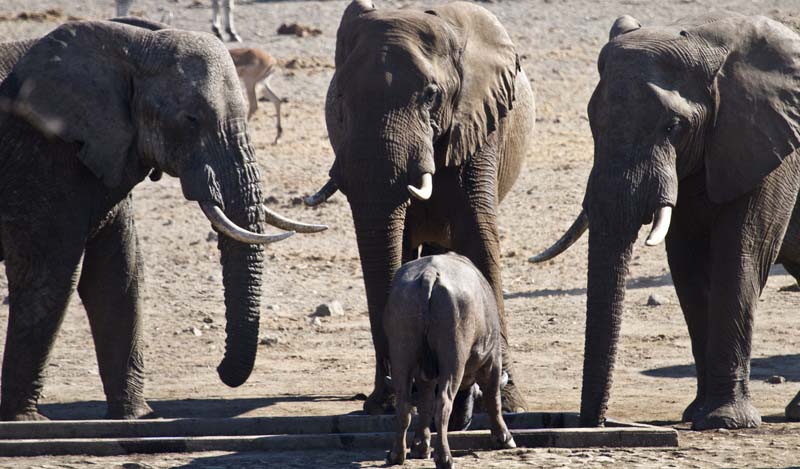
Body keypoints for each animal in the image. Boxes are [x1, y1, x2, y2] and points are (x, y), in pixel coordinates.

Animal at [0, 19, 326, 420]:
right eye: (191, 120)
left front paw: (136, 416)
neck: (129, 45)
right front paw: (25, 419)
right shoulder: (41, 157)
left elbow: (118, 276)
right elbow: (51, 275)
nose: (220, 371)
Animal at [306, 0, 536, 416]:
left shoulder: (478, 122)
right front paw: (390, 401)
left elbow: (478, 234)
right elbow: (394, 244)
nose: (391, 393)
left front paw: (511, 402)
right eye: (339, 99)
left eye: (431, 95)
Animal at [384, 254, 516, 466]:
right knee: (444, 402)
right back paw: (444, 456)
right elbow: (493, 396)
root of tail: (429, 274)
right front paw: (504, 437)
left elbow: (425, 404)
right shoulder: (492, 360)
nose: (461, 423)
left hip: (401, 351)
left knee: (404, 404)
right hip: (454, 357)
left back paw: (397, 454)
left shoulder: (424, 375)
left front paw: (420, 447)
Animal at [532, 13, 800, 432]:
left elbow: (741, 252)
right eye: (592, 121)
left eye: (673, 127)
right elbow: (688, 263)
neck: (710, 41)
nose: (593, 423)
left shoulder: (770, 145)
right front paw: (698, 414)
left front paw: (724, 421)